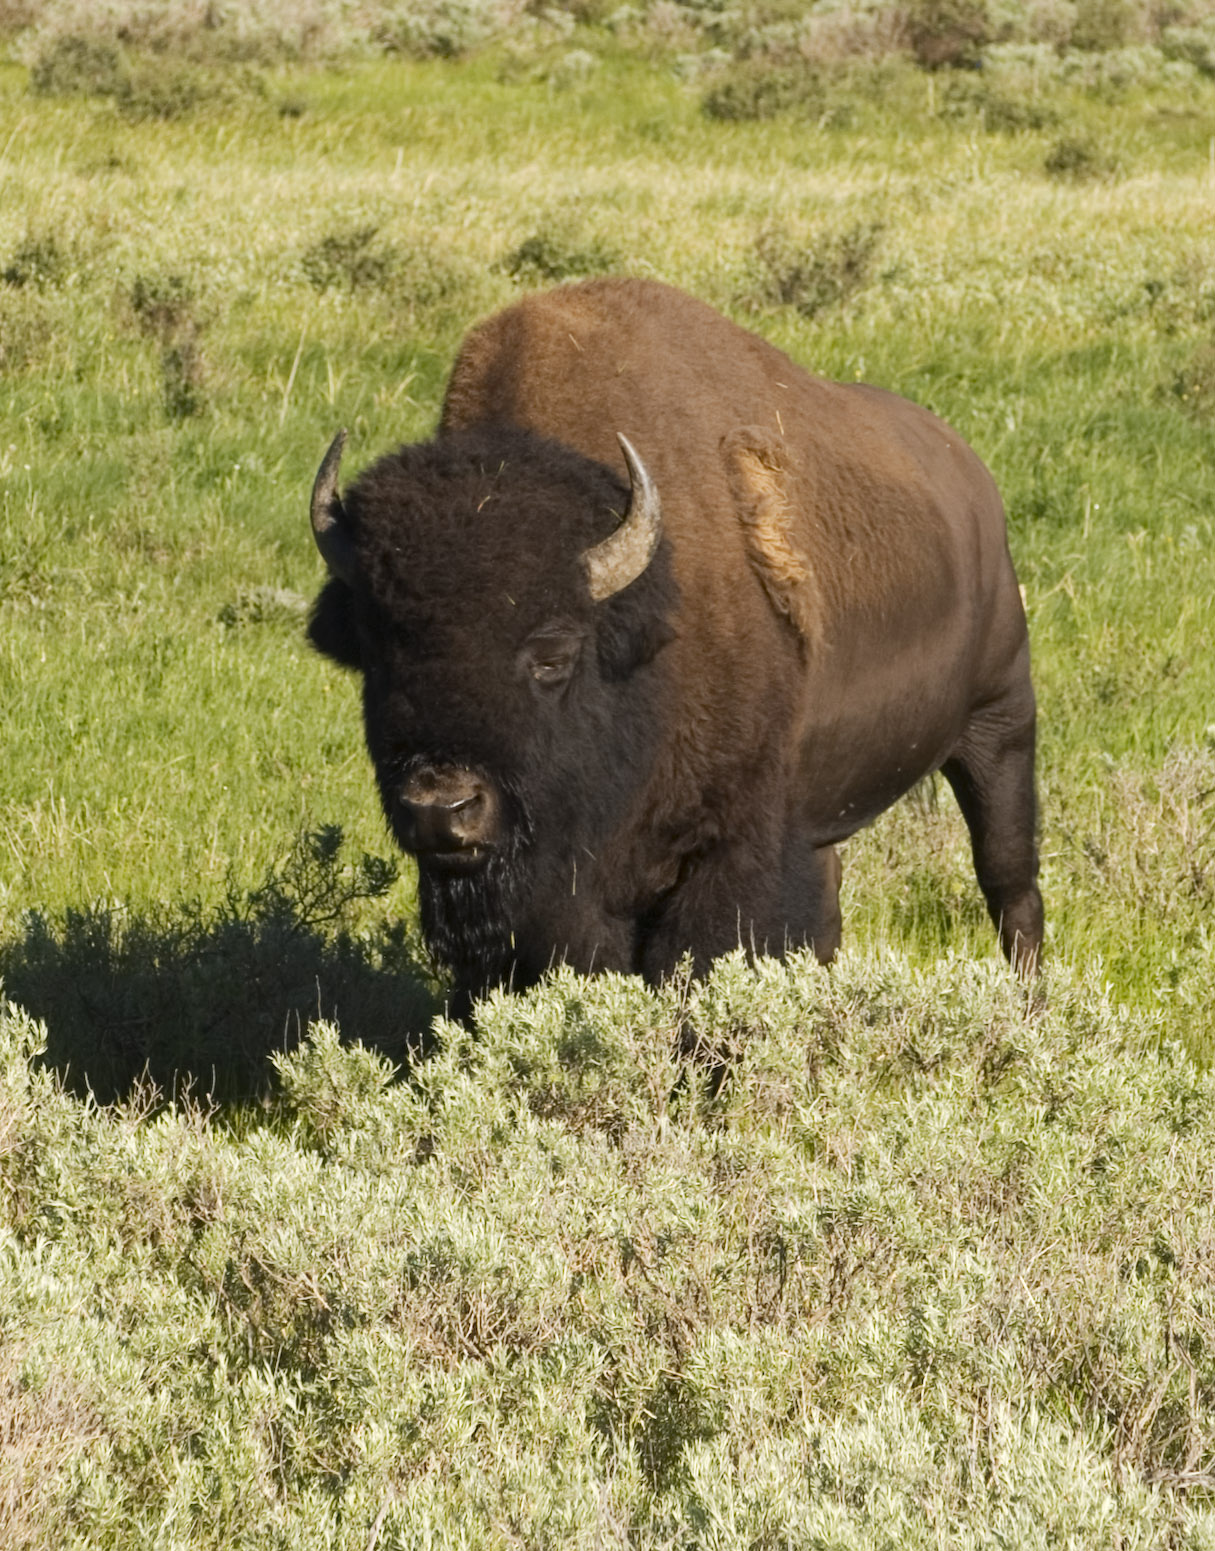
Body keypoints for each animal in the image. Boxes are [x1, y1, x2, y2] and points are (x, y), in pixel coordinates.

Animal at [307, 279, 1042, 1017]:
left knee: (1009, 882)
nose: (441, 808)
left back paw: (1030, 1007)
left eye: (552, 655)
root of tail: (971, 479)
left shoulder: (725, 848)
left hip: (999, 722)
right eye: (378, 653)